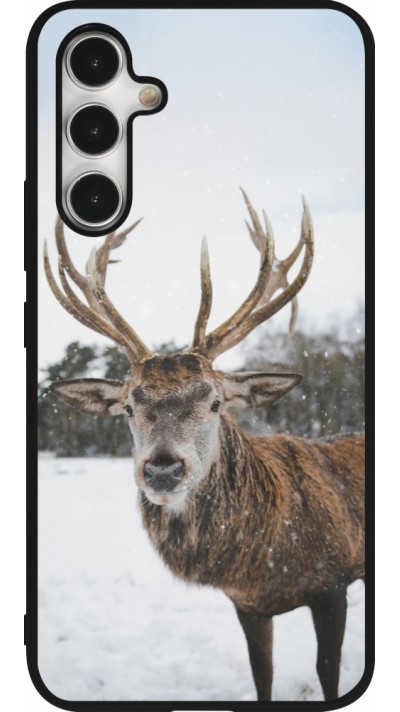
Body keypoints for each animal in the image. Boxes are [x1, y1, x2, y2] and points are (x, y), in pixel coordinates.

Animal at [44, 191, 365, 701]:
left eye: (215, 402)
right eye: (129, 407)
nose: (163, 469)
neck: (265, 559)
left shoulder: (334, 583)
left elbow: (327, 672)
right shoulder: (248, 604)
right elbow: (262, 675)